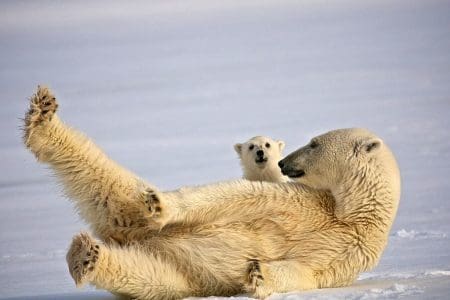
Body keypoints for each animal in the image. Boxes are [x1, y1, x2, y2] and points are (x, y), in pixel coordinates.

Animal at [22, 85, 400, 298]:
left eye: (314, 143)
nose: (283, 162)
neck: (349, 212)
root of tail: (124, 235)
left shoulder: (350, 252)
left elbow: (307, 273)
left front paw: (258, 273)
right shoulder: (302, 201)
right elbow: (239, 197)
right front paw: (163, 205)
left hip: (177, 272)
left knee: (145, 272)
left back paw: (86, 255)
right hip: (131, 213)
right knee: (108, 182)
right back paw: (43, 116)